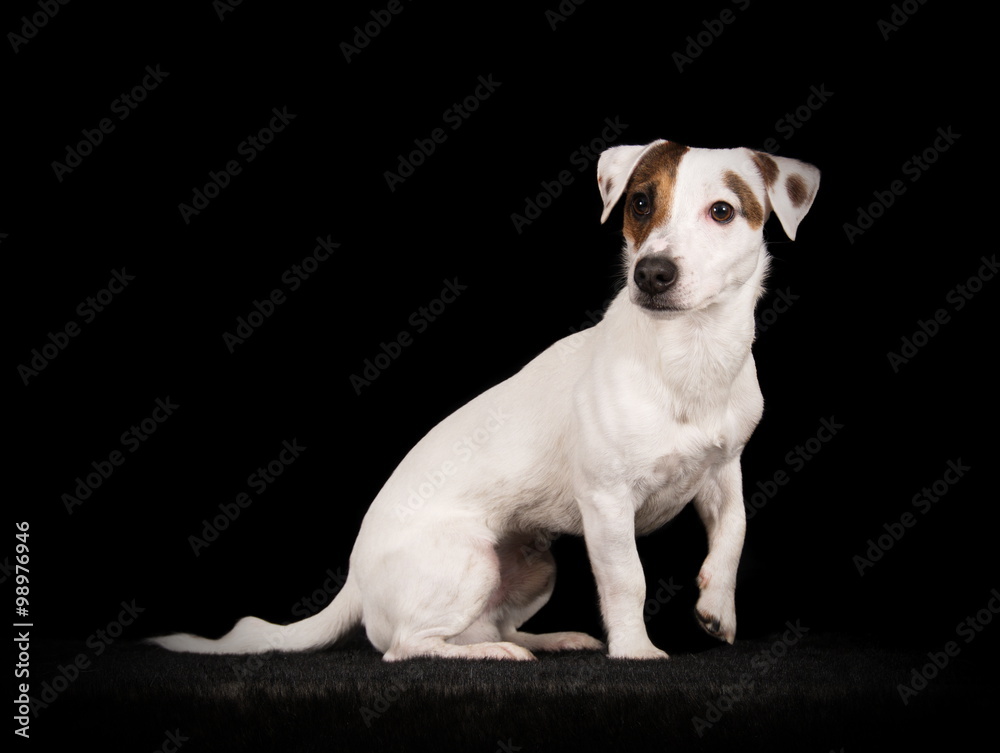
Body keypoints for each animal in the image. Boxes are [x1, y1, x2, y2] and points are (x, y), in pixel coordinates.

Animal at [148, 140, 820, 656]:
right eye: (639, 204)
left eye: (723, 211)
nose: (651, 273)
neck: (689, 355)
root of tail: (355, 582)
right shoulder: (607, 504)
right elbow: (627, 580)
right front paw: (636, 652)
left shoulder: (724, 472)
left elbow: (733, 535)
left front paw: (717, 608)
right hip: (469, 560)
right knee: (405, 647)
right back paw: (494, 655)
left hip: (532, 564)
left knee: (488, 625)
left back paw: (546, 641)